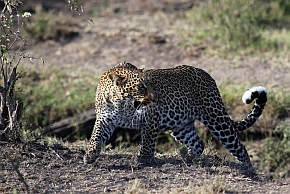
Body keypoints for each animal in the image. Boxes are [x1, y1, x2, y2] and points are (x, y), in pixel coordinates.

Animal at [82, 61, 268, 164]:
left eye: (149, 84)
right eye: (141, 87)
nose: (156, 97)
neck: (121, 103)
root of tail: (207, 76)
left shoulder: (151, 118)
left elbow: (148, 141)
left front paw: (143, 159)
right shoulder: (104, 119)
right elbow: (96, 136)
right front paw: (90, 155)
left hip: (216, 118)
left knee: (240, 147)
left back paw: (248, 170)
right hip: (180, 126)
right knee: (198, 143)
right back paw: (189, 160)